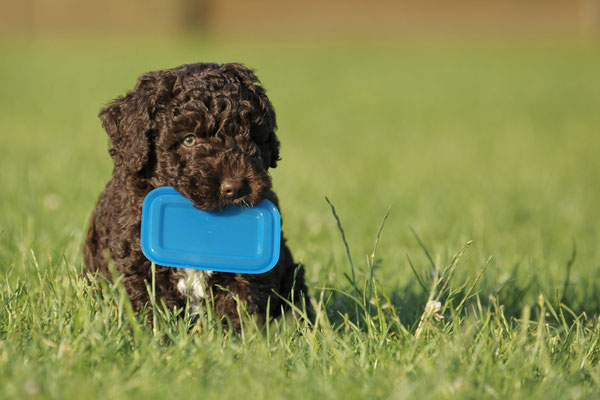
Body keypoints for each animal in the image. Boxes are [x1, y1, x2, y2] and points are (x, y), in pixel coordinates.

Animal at [83, 63, 310, 332]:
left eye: (251, 137)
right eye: (189, 139)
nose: (236, 187)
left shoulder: (244, 273)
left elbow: (236, 307)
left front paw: (232, 340)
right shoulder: (136, 265)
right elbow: (150, 308)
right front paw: (156, 337)